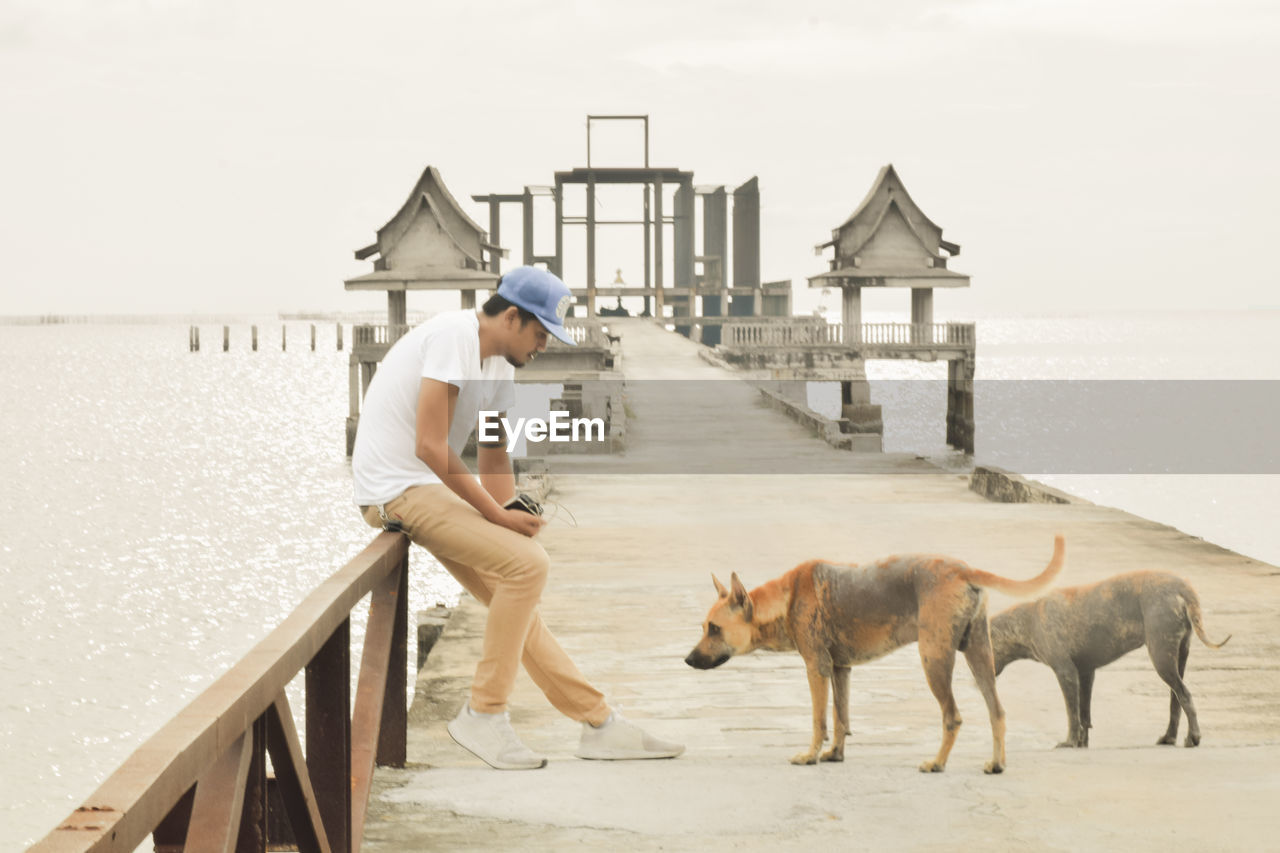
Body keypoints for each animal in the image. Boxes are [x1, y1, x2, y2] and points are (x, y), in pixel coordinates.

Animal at [686, 537, 1064, 768]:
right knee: (996, 712)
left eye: (715, 629)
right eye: (704, 627)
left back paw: (937, 763)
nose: (687, 660)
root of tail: (962, 569)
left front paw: (811, 755)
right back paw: (997, 763)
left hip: (934, 659)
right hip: (980, 656)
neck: (787, 597)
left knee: (952, 716)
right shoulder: (840, 670)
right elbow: (841, 717)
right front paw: (835, 753)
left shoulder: (816, 668)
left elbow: (819, 719)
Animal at [988, 571, 1228, 742]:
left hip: (1161, 656)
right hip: (1178, 657)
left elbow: (1072, 713)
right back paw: (1169, 737)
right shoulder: (1086, 673)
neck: (1026, 620)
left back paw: (1193, 738)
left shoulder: (1065, 672)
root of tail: (1183, 587)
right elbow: (1084, 715)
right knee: (1175, 701)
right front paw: (1081, 743)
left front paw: (1069, 742)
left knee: (1185, 695)